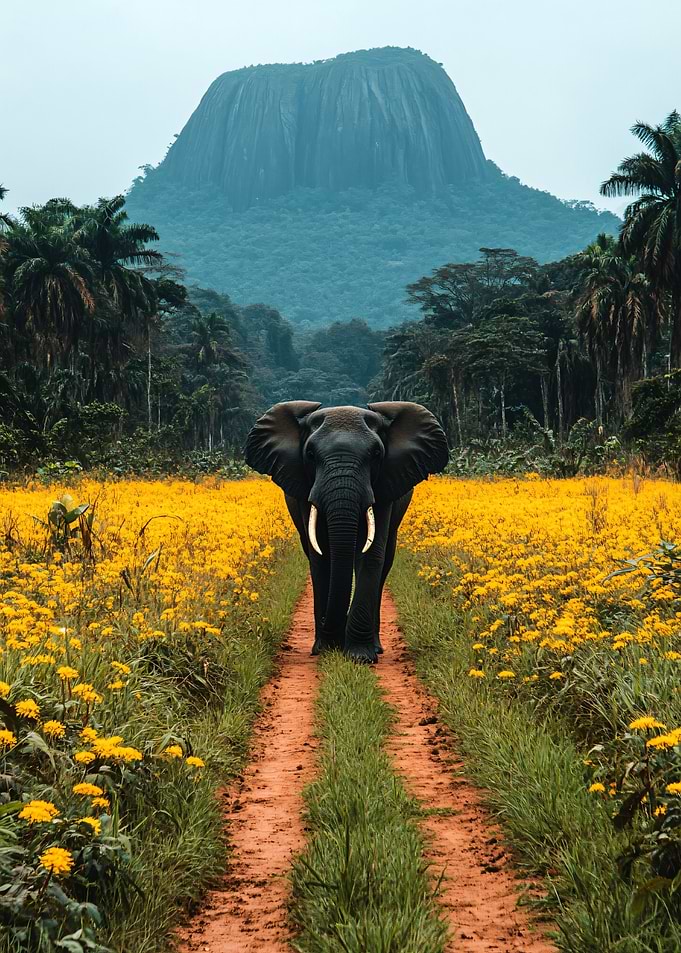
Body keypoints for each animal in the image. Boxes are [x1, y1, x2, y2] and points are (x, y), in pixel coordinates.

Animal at [245, 401, 449, 663]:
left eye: (376, 454)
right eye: (310, 455)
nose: (334, 639)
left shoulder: (384, 485)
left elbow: (371, 555)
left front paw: (360, 656)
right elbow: (321, 556)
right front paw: (325, 649)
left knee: (385, 561)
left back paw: (375, 647)